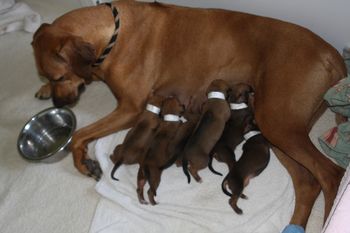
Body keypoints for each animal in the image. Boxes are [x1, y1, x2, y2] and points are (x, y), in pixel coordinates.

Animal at [31, 0, 346, 229]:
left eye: (60, 76)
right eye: (49, 76)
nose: (61, 103)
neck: (112, 33)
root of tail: (334, 56)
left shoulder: (130, 108)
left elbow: (79, 135)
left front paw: (84, 163)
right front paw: (43, 90)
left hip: (278, 122)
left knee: (332, 175)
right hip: (275, 126)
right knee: (307, 184)